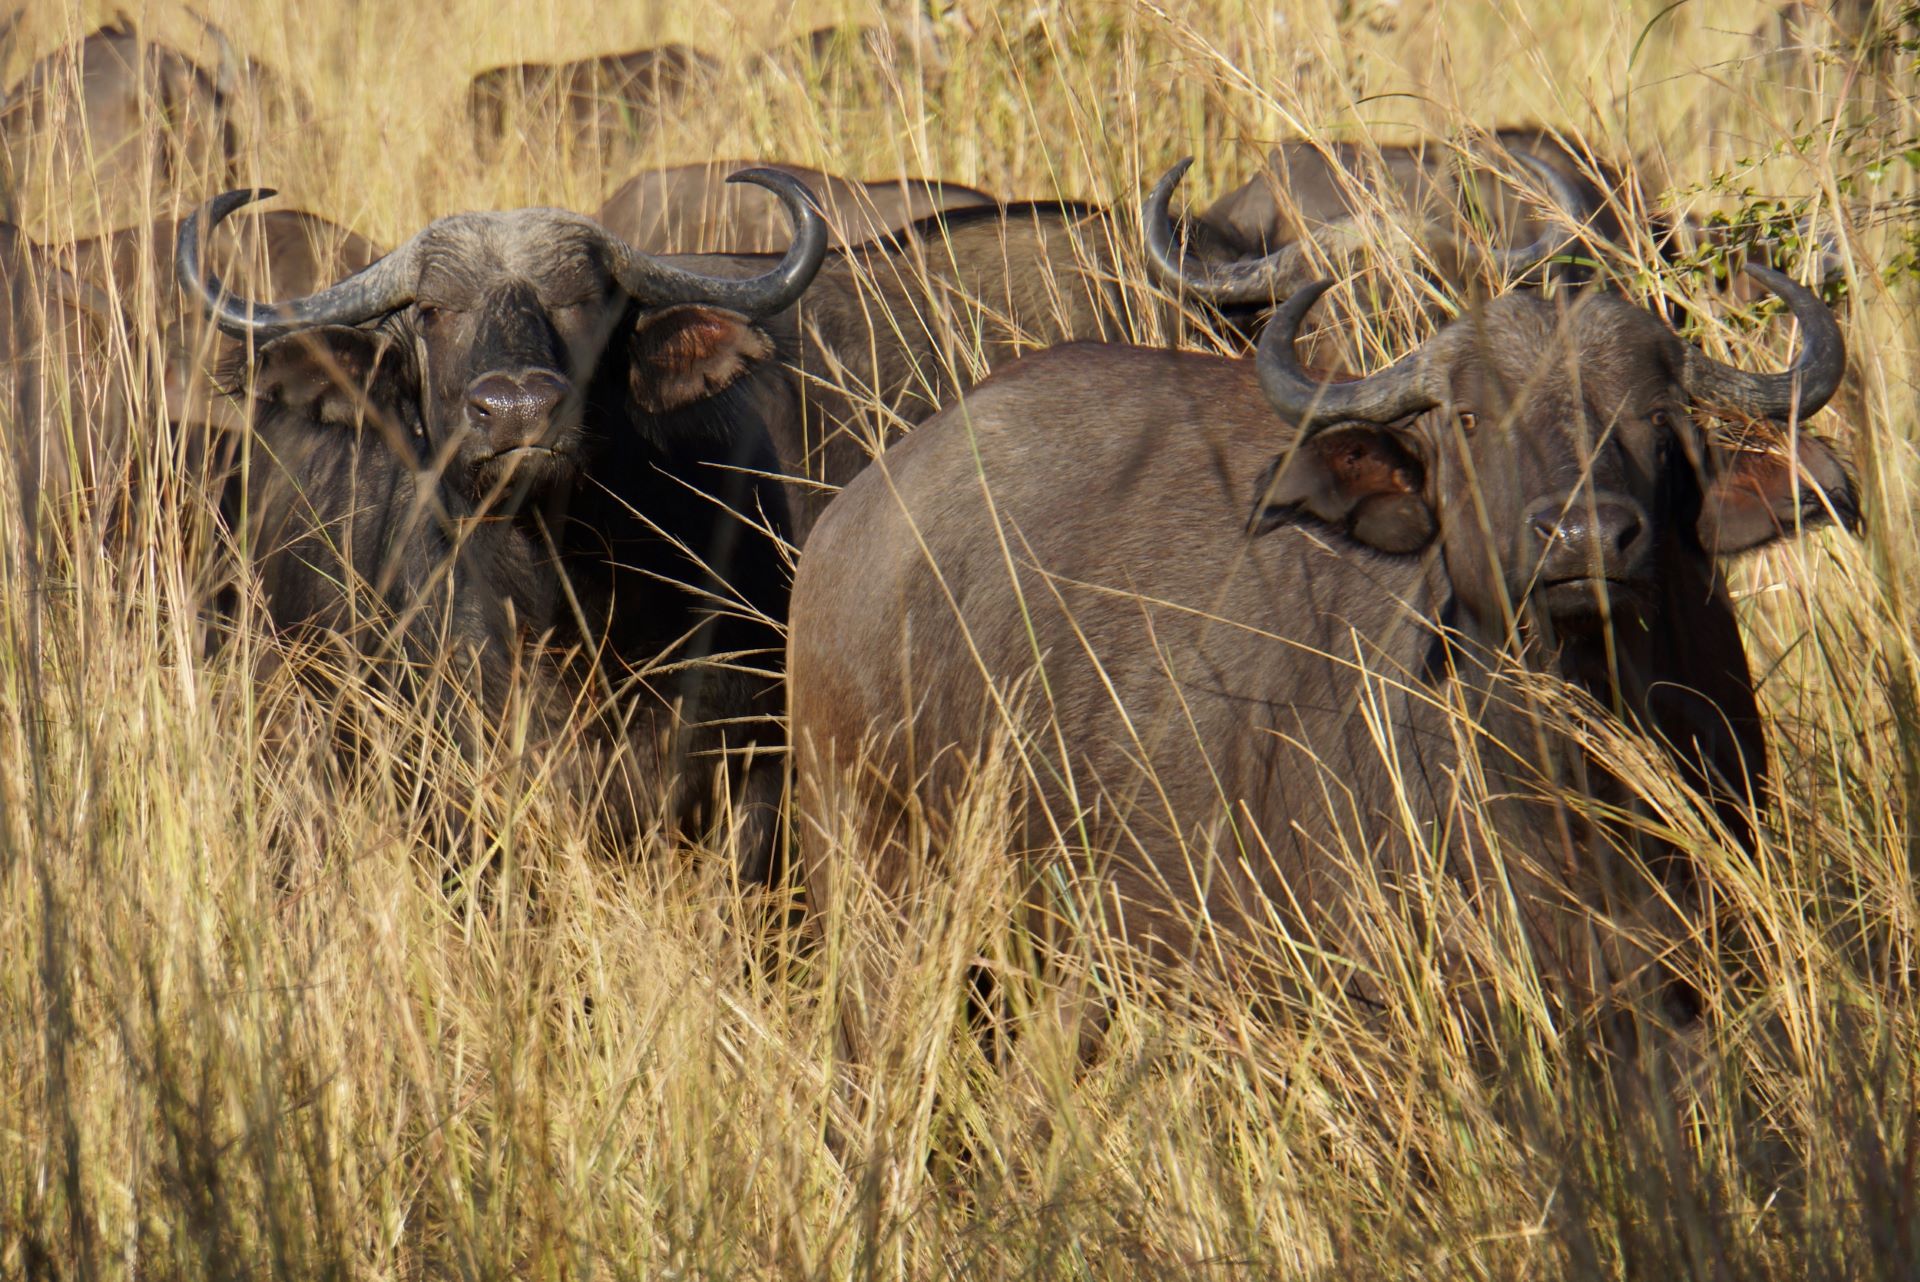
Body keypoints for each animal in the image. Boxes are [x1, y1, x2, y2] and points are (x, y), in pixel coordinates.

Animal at [790, 161, 1855, 1041]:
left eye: (1658, 418)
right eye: (1471, 418)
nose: (1586, 537)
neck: (1580, 786)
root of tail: (853, 524)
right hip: (879, 892)